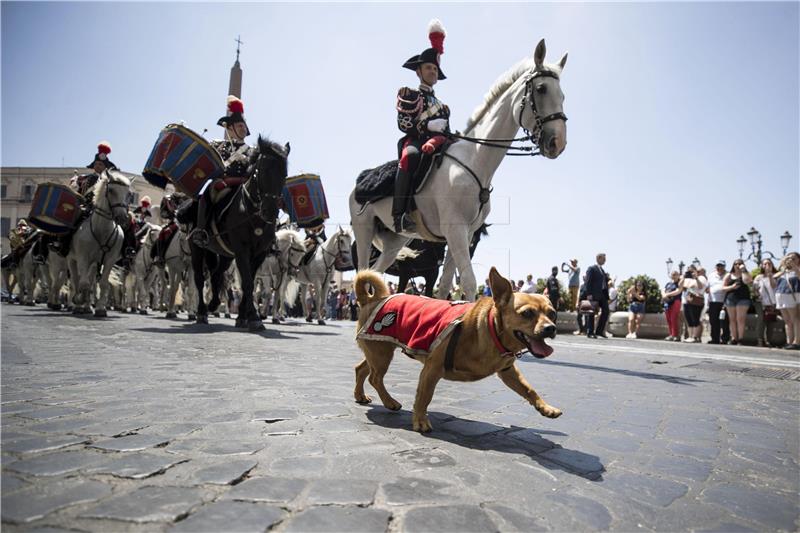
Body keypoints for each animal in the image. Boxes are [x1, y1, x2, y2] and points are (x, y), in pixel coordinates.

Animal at [67, 169, 131, 316]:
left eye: (129, 194)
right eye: (111, 190)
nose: (122, 217)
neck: (101, 230)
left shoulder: (109, 260)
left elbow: (103, 283)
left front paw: (100, 308)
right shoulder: (83, 257)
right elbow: (83, 283)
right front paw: (79, 301)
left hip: (94, 264)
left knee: (90, 281)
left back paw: (87, 306)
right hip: (72, 259)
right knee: (76, 280)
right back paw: (78, 304)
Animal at [180, 135, 290, 330]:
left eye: (284, 174)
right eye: (263, 171)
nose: (270, 211)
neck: (252, 214)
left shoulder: (259, 253)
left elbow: (250, 282)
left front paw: (243, 317)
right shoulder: (242, 250)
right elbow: (247, 282)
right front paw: (253, 317)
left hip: (225, 255)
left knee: (217, 275)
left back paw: (214, 304)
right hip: (197, 249)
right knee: (200, 279)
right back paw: (201, 312)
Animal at [354, 266, 560, 432]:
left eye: (552, 314)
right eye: (527, 313)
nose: (551, 328)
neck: (489, 330)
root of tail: (372, 299)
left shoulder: (508, 371)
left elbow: (528, 389)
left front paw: (546, 408)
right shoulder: (431, 369)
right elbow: (424, 397)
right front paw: (420, 421)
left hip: (377, 352)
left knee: (361, 369)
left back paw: (360, 396)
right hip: (381, 354)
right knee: (375, 378)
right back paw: (390, 402)